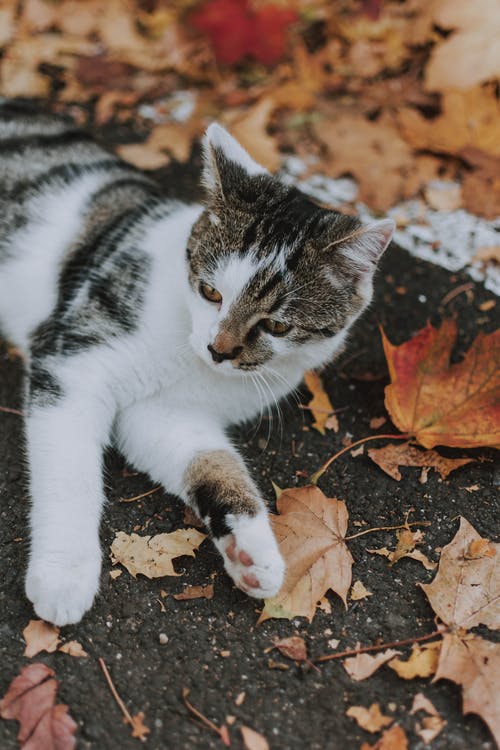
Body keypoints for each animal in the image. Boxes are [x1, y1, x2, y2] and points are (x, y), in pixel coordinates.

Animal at [0, 101, 394, 628]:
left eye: (277, 325)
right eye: (210, 291)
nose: (219, 349)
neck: (187, 354)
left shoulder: (164, 415)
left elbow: (212, 461)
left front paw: (252, 553)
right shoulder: (73, 360)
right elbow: (71, 474)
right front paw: (64, 576)